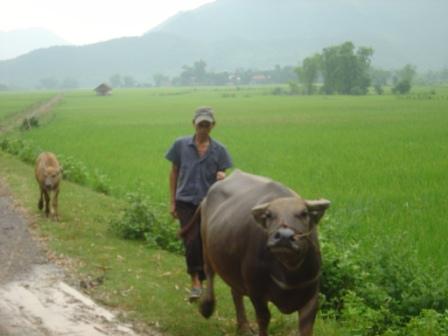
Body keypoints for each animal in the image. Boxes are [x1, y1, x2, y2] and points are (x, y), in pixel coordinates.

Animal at [200, 171, 328, 336]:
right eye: (269, 215)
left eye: (304, 213)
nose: (284, 237)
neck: (289, 271)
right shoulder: (256, 292)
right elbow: (263, 318)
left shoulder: (311, 296)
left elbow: (306, 326)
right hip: (206, 246)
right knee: (209, 272)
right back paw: (207, 307)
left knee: (235, 292)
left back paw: (243, 326)